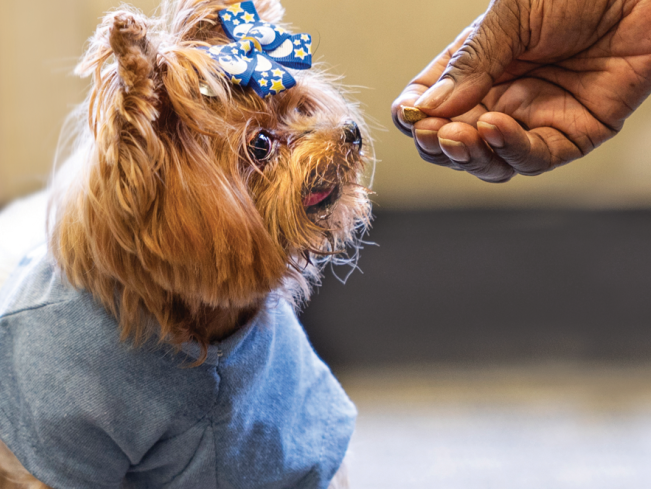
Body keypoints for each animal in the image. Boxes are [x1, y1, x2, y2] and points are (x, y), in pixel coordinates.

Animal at [0, 0, 372, 486]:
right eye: (260, 143)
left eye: (300, 107)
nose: (350, 131)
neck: (193, 319)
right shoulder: (59, 435)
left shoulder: (269, 427)